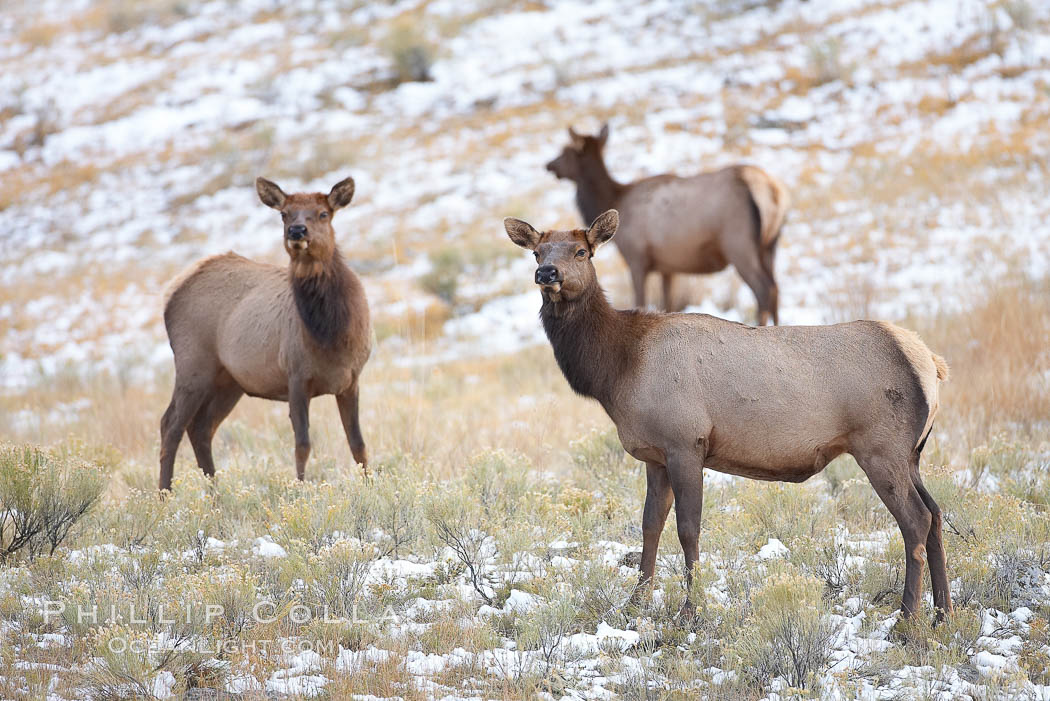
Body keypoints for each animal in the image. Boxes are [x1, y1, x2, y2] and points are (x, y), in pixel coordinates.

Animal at [153, 178, 371, 491]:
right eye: (284, 214)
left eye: (323, 213)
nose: (297, 231)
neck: (331, 337)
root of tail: (171, 294)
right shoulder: (296, 376)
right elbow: (302, 445)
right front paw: (300, 490)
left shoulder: (350, 380)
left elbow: (358, 445)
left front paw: (371, 486)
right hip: (193, 365)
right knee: (170, 424)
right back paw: (165, 495)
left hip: (228, 381)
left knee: (201, 428)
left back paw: (216, 494)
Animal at [503, 207, 957, 617]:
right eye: (537, 252)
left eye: (582, 251)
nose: (548, 274)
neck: (617, 370)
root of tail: (932, 364)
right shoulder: (655, 454)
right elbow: (650, 524)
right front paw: (635, 602)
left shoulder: (686, 442)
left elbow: (688, 528)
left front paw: (690, 610)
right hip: (912, 453)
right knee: (936, 514)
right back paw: (943, 611)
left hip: (880, 447)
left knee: (916, 519)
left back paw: (907, 616)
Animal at [550, 123, 789, 325]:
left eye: (566, 151)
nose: (549, 165)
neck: (615, 198)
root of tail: (772, 192)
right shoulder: (668, 267)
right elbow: (668, 304)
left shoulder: (636, 257)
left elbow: (640, 301)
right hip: (769, 246)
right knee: (776, 288)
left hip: (739, 244)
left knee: (763, 289)